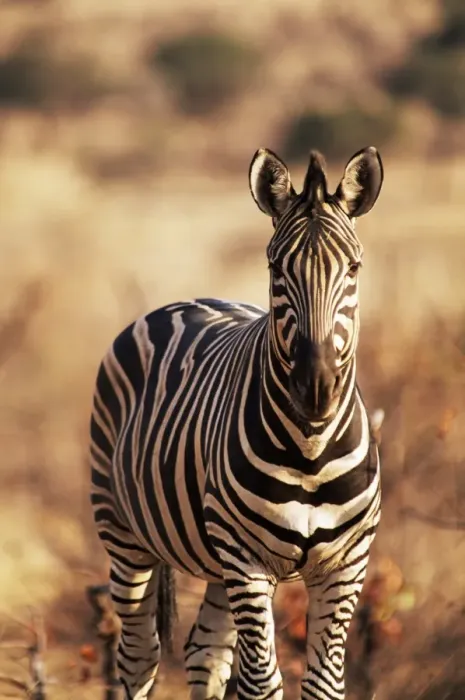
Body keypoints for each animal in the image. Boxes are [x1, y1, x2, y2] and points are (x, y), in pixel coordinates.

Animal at [90, 145, 384, 700]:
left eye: (355, 266)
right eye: (275, 267)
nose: (315, 388)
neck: (310, 449)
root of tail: (189, 299)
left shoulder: (344, 566)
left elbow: (322, 683)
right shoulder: (247, 561)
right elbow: (263, 682)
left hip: (215, 559)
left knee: (204, 652)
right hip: (124, 534)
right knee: (139, 655)